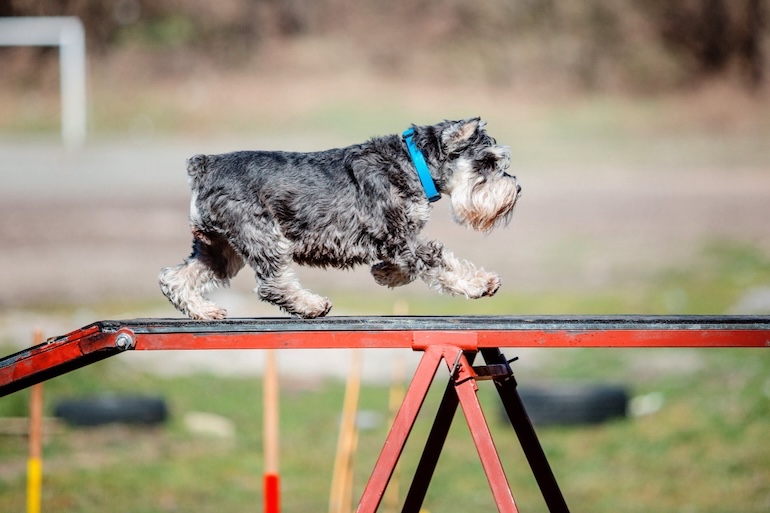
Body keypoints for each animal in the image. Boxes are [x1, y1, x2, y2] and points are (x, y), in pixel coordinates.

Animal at [158, 118, 520, 318]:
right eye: (488, 161)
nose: (516, 189)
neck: (414, 163)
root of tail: (205, 165)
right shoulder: (399, 237)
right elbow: (440, 262)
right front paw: (480, 283)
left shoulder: (398, 240)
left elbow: (409, 265)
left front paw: (385, 274)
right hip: (263, 236)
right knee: (272, 285)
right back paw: (310, 305)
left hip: (220, 248)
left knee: (174, 278)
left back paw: (204, 310)